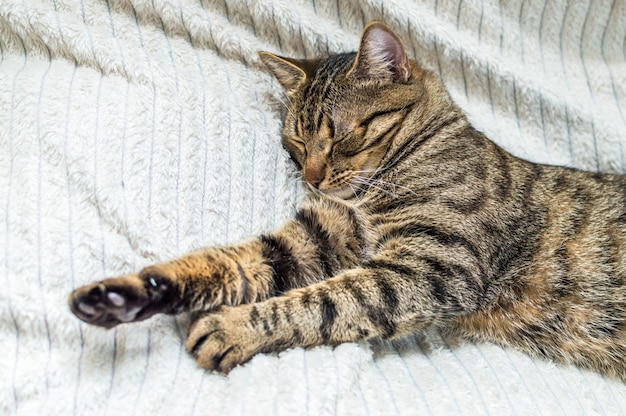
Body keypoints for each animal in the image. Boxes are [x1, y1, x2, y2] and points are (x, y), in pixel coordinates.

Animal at [68, 22, 624, 380]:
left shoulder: (433, 268)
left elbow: (325, 302)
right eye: (295, 140)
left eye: (339, 136)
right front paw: (125, 293)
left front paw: (233, 326)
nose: (312, 177)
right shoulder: (317, 239)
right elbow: (227, 264)